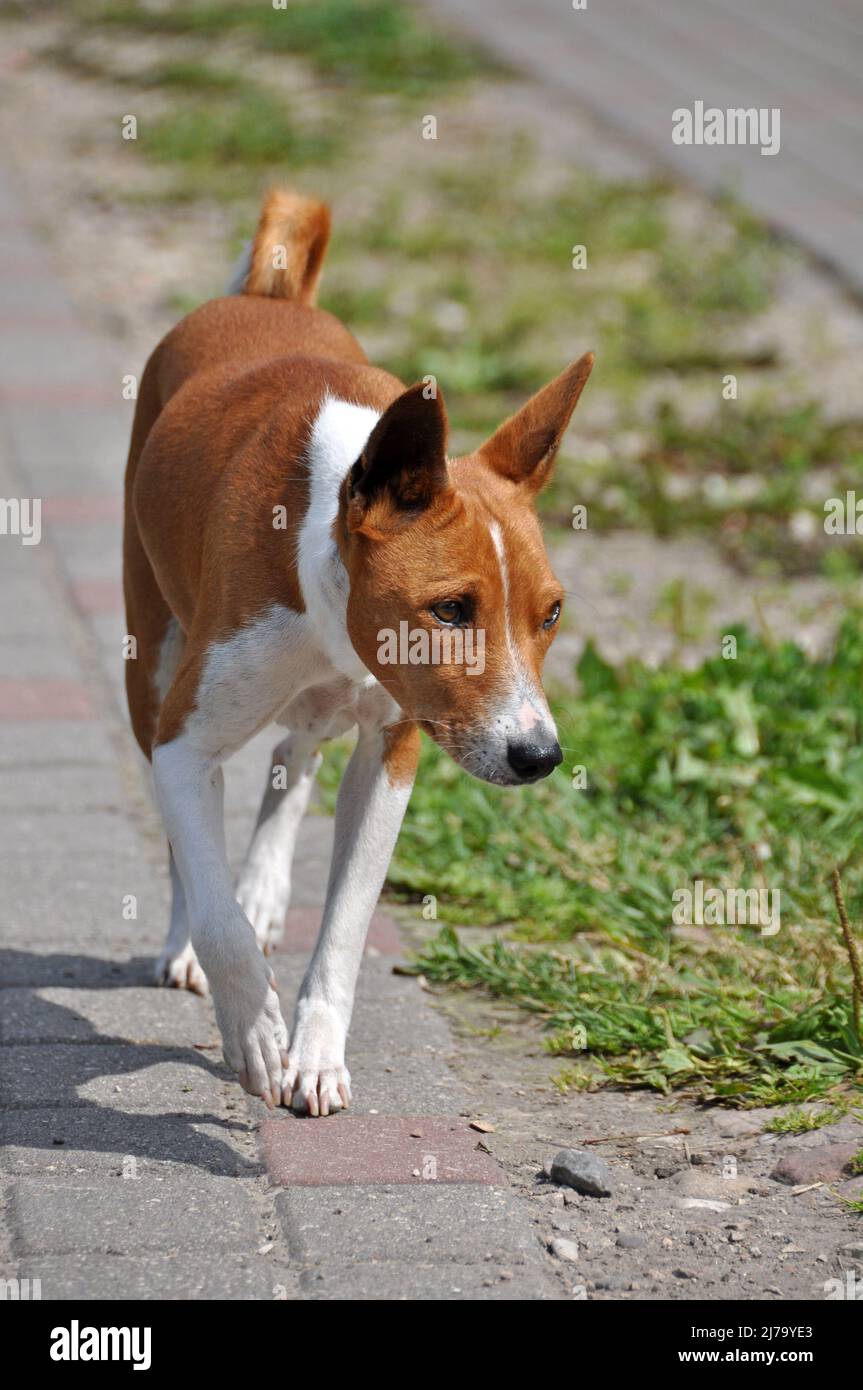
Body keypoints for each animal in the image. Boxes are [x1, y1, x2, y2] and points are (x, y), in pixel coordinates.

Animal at [122, 187, 592, 1117]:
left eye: (551, 614)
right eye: (450, 609)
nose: (540, 756)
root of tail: (267, 297)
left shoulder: (393, 751)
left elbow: (343, 928)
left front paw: (312, 1052)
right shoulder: (184, 740)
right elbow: (218, 912)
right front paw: (254, 1031)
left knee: (292, 758)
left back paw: (267, 885)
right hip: (148, 664)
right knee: (194, 843)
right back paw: (190, 938)